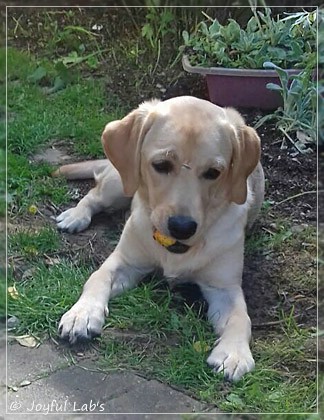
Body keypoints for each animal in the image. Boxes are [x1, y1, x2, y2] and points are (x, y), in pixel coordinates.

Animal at [55, 97, 264, 382]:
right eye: (161, 165)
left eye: (214, 172)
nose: (182, 227)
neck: (175, 250)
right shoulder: (124, 261)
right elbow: (96, 278)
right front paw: (82, 314)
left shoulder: (224, 288)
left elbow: (241, 317)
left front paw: (234, 352)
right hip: (118, 184)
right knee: (93, 195)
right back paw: (76, 215)